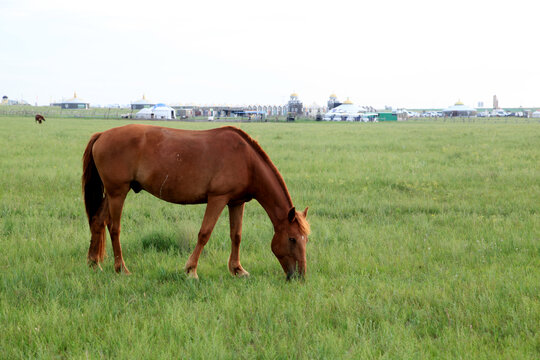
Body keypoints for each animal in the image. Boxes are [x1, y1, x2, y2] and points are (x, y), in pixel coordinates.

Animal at [80, 125, 310, 280]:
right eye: (292, 239)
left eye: (305, 240)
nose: (299, 276)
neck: (246, 160)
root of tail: (102, 135)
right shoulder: (217, 198)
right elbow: (204, 234)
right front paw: (191, 270)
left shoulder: (236, 202)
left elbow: (236, 236)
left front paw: (237, 269)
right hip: (118, 193)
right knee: (114, 228)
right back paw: (121, 269)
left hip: (112, 194)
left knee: (98, 221)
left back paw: (94, 264)